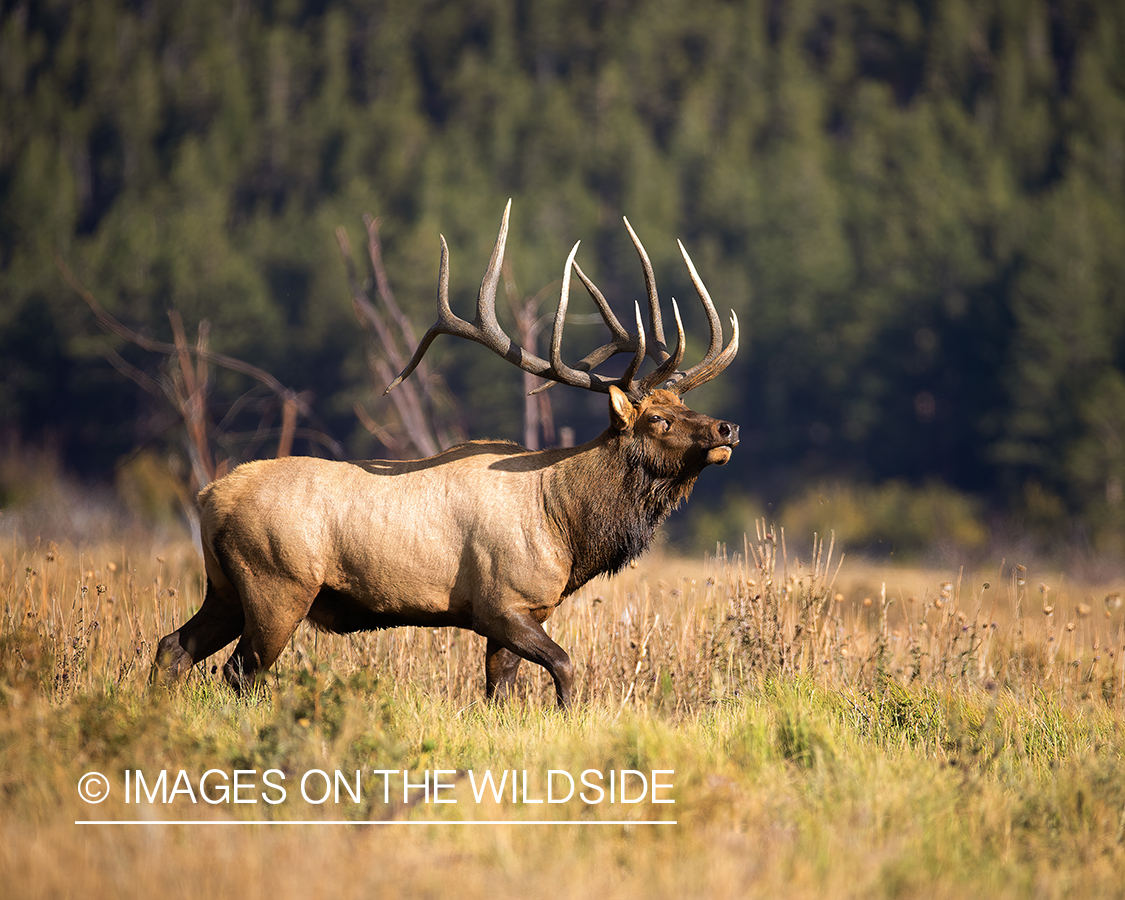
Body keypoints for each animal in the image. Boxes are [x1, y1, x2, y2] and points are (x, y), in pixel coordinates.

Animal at [156, 200, 738, 706]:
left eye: (684, 403)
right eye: (658, 419)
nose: (728, 427)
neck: (567, 526)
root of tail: (209, 498)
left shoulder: (519, 613)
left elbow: (498, 691)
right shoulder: (501, 603)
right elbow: (565, 666)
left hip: (225, 588)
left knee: (172, 647)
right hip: (277, 585)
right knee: (238, 671)